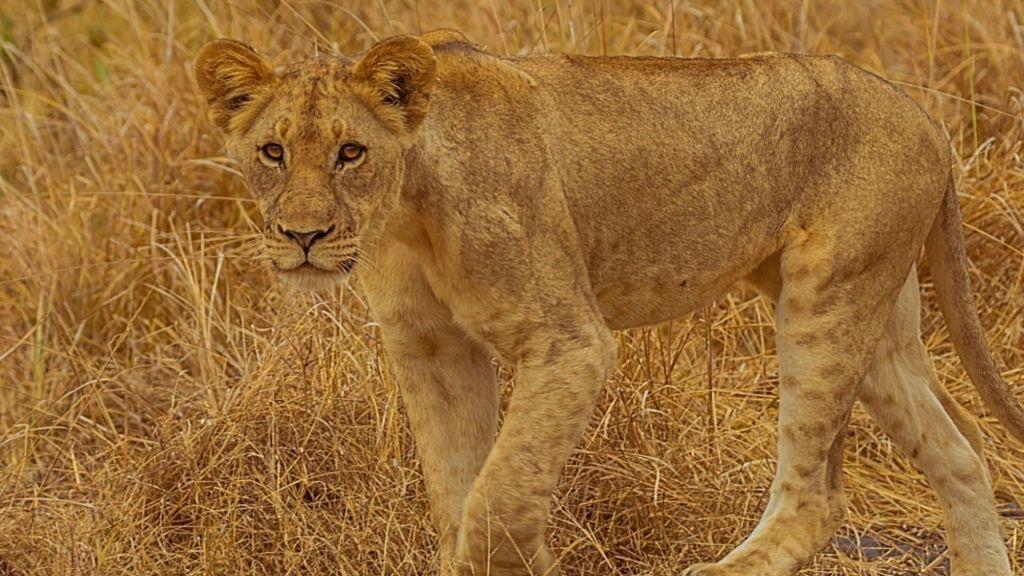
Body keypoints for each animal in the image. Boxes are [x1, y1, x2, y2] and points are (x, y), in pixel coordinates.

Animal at [193, 30, 1024, 573]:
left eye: (350, 153)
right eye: (272, 152)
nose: (303, 236)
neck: (406, 212)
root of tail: (927, 119)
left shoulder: (569, 342)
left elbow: (498, 496)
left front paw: (525, 555)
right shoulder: (431, 348)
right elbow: (458, 493)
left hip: (826, 299)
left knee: (816, 498)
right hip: (875, 318)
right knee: (961, 454)